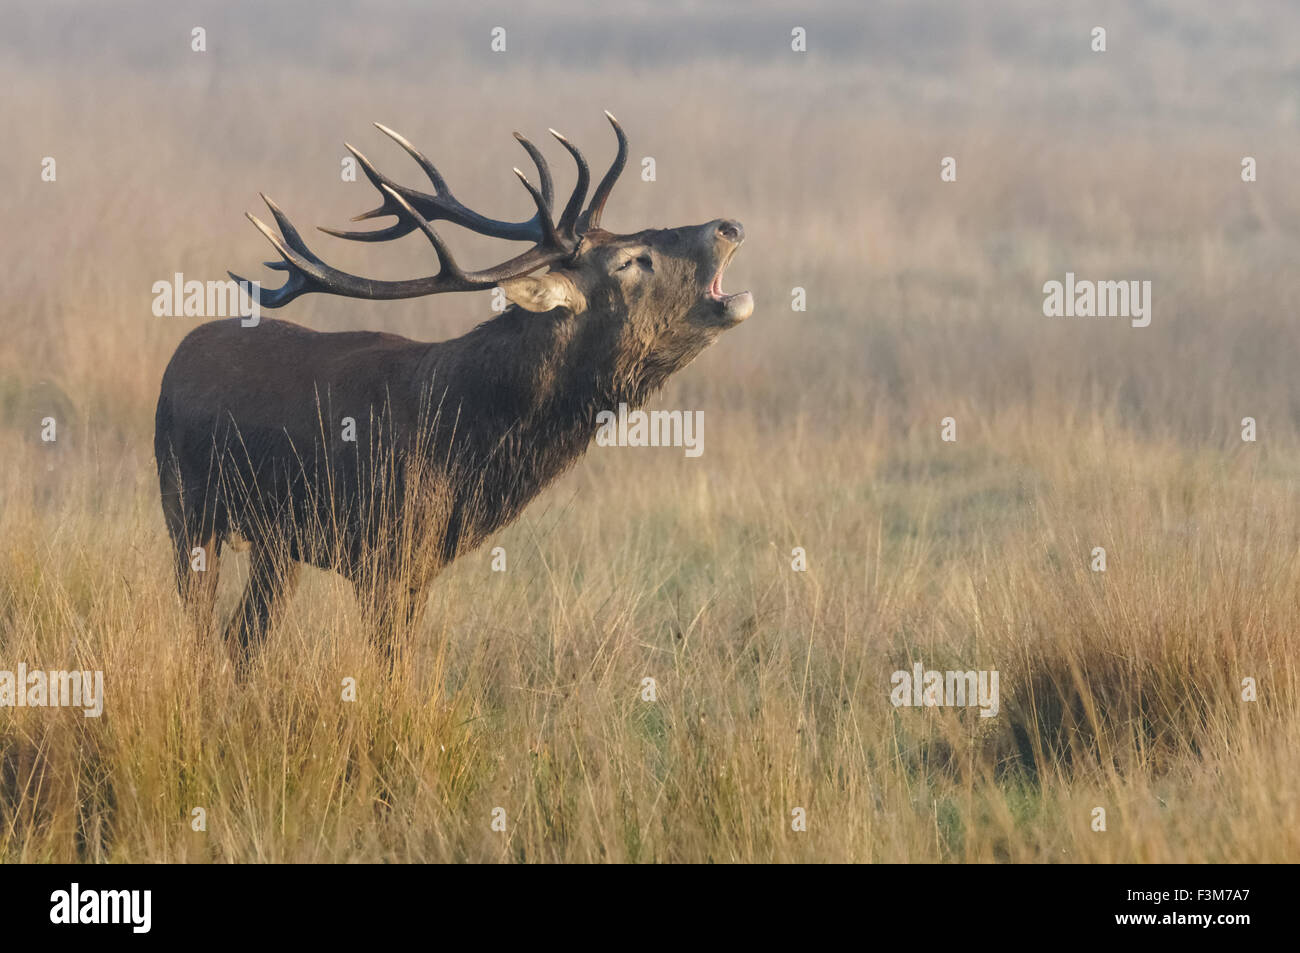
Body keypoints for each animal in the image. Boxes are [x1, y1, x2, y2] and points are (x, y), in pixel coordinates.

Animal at [153, 113, 752, 666]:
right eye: (631, 260)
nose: (728, 226)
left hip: (275, 544)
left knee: (242, 639)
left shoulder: (420, 567)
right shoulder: (384, 553)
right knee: (201, 631)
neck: (466, 444)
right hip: (186, 506)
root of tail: (177, 357)